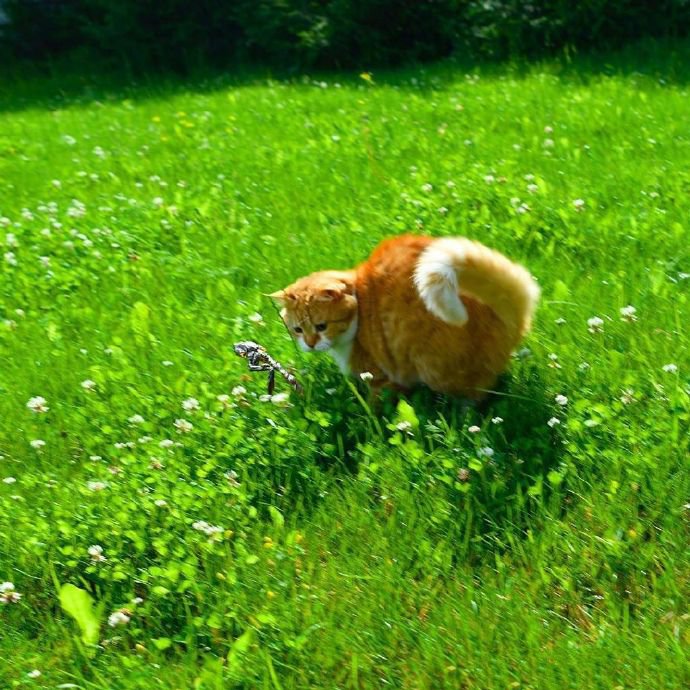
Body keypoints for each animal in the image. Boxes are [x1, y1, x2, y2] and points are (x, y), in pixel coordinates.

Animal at [268, 234, 536, 398]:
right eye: (298, 330)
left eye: (321, 326)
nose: (310, 344)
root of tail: (511, 315)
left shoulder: (379, 376)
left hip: (437, 368)